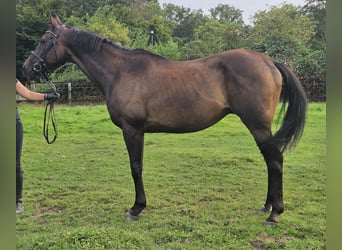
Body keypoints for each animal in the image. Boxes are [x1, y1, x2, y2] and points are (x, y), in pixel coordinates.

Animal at [22, 16, 306, 225]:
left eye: (44, 39)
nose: (26, 68)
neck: (120, 72)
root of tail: (269, 61)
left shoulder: (132, 129)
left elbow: (136, 167)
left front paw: (136, 208)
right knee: (270, 161)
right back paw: (266, 206)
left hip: (258, 126)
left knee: (275, 161)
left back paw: (274, 213)